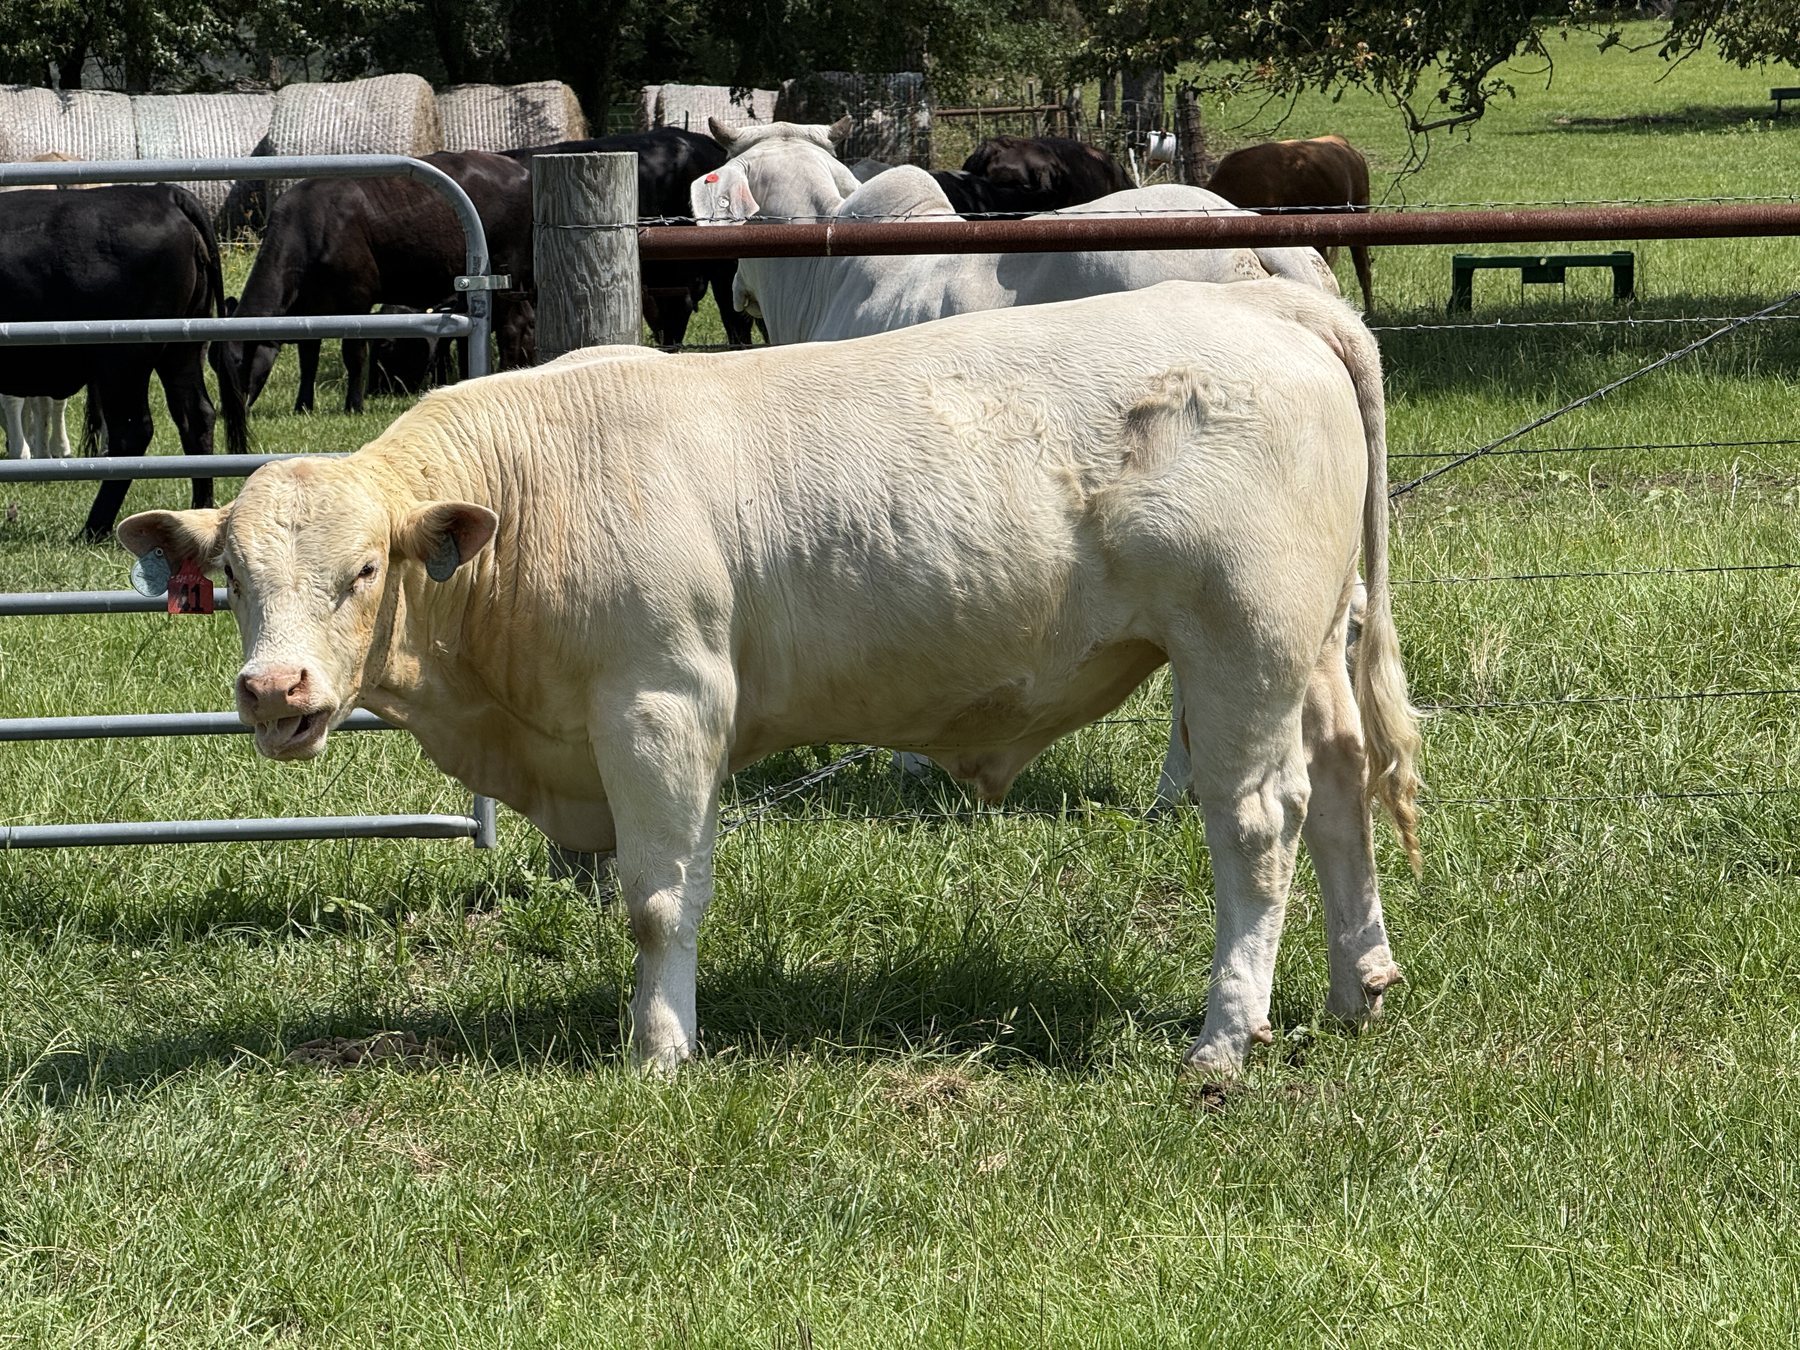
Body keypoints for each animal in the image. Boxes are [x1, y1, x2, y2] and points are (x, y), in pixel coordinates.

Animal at [0, 184, 245, 540]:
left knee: (132, 431)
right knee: (196, 417)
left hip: (123, 360)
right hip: (181, 350)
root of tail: (162, 194)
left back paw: (94, 527)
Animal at [118, 279, 1421, 1075]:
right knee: (1343, 785)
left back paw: (1226, 1036)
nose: (276, 691)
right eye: (232, 575)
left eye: (363, 569)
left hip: (1240, 643)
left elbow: (655, 899)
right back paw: (1358, 983)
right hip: (1308, 646)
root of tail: (1263, 297)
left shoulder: (661, 702)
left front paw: (657, 1052)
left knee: (1259, 824)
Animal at [220, 150, 534, 415]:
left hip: (508, 274)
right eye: (215, 365)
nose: (229, 412)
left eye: (238, 363)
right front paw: (303, 406)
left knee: (512, 326)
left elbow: (353, 355)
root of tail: (516, 168)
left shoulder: (356, 300)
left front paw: (354, 405)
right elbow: (308, 359)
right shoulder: (310, 309)